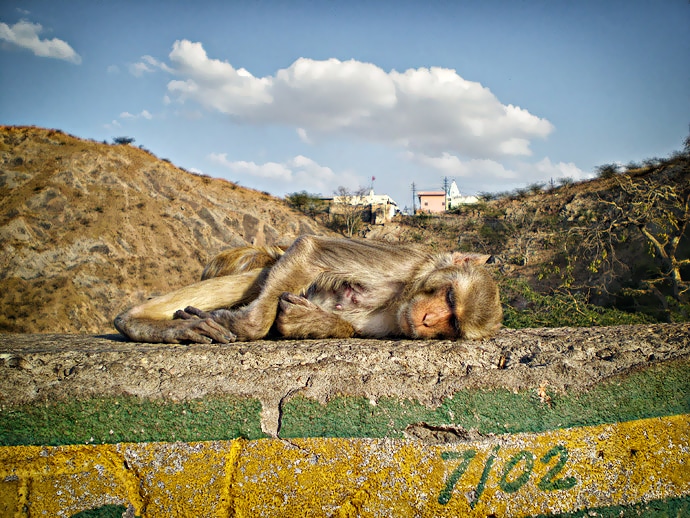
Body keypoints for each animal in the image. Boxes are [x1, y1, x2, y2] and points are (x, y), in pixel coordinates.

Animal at [114, 237, 500, 346]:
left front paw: (307, 321)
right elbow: (312, 251)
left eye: (453, 324)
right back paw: (137, 321)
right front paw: (248, 326)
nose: (427, 319)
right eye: (449, 296)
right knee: (264, 270)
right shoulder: (402, 264)